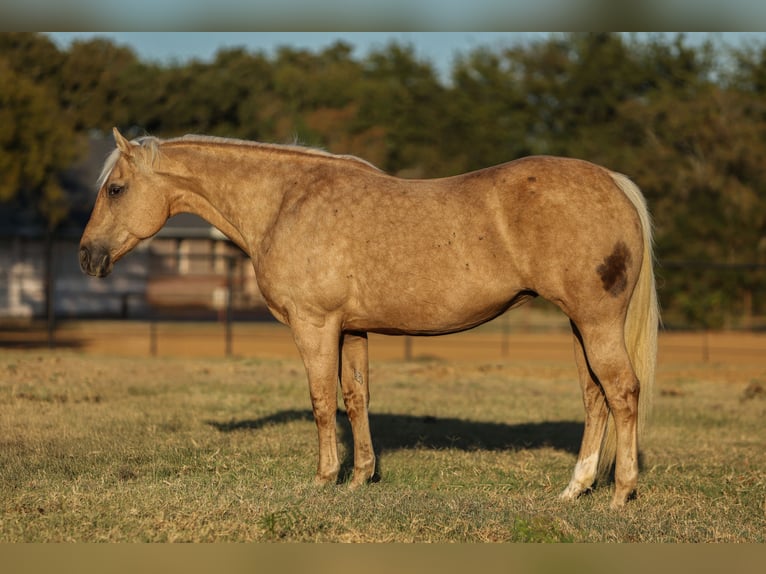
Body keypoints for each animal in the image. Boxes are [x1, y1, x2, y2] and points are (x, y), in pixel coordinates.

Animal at [80, 127, 659, 509]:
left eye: (115, 189)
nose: (88, 256)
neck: (285, 202)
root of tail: (614, 183)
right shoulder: (351, 329)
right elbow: (355, 398)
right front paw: (360, 477)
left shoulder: (314, 326)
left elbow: (321, 401)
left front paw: (323, 479)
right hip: (579, 326)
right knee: (595, 397)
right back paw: (575, 489)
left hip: (596, 323)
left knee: (622, 392)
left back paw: (620, 494)